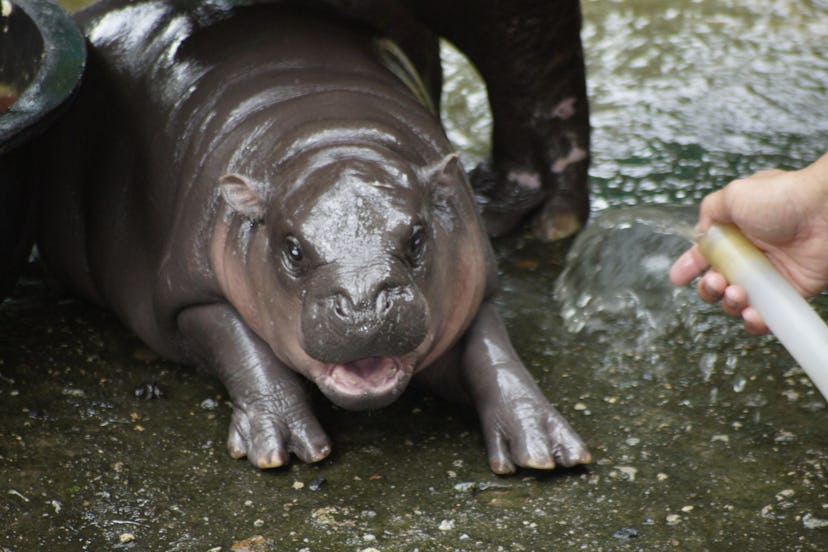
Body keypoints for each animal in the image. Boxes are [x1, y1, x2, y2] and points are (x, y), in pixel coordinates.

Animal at [34, 0, 590, 473]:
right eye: (294, 249)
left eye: (416, 238)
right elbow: (242, 347)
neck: (331, 135)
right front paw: (282, 444)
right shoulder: (189, 293)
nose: (364, 306)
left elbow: (493, 350)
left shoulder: (475, 280)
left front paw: (543, 445)